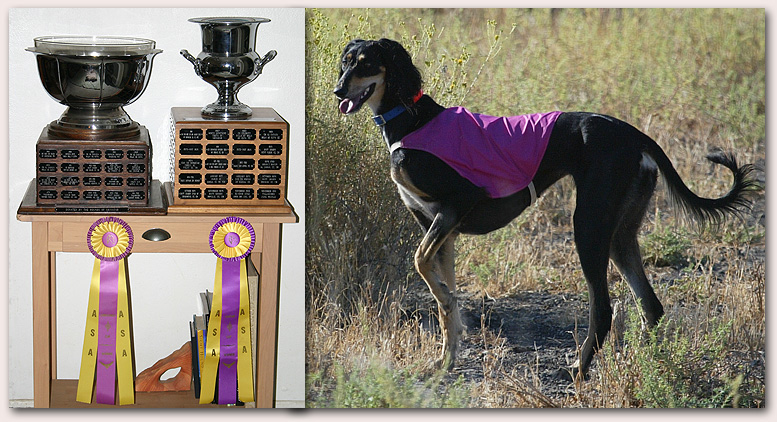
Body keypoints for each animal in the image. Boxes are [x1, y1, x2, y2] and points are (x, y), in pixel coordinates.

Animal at [332, 37, 752, 380]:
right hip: (619, 234)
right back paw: (650, 366)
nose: (337, 90)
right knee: (651, 305)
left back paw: (580, 370)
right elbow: (442, 298)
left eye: (366, 63)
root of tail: (635, 134)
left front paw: (448, 324)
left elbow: (423, 267)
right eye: (345, 61)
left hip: (587, 227)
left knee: (603, 308)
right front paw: (445, 360)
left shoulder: (457, 204)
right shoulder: (441, 228)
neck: (411, 118)